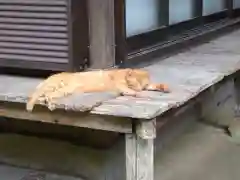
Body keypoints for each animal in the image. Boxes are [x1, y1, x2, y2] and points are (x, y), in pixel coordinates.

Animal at [25, 68, 169, 112]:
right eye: (133, 83)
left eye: (142, 84)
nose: (139, 88)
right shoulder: (121, 85)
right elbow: (129, 90)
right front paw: (137, 93)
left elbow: (155, 85)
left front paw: (164, 87)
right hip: (66, 88)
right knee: (47, 95)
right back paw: (51, 105)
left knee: (43, 96)